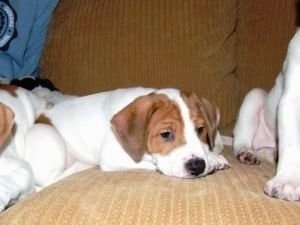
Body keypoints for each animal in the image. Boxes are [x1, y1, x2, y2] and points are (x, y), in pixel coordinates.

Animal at [0, 85, 230, 212]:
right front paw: (214, 159)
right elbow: (150, 163)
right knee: (51, 181)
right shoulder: (114, 158)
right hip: (50, 139)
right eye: (166, 135)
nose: (197, 166)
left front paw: (214, 153)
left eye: (200, 129)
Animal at [233, 28, 300, 202]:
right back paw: (246, 152)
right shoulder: (291, 101)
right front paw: (289, 180)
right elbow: (292, 146)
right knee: (242, 140)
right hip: (255, 97)